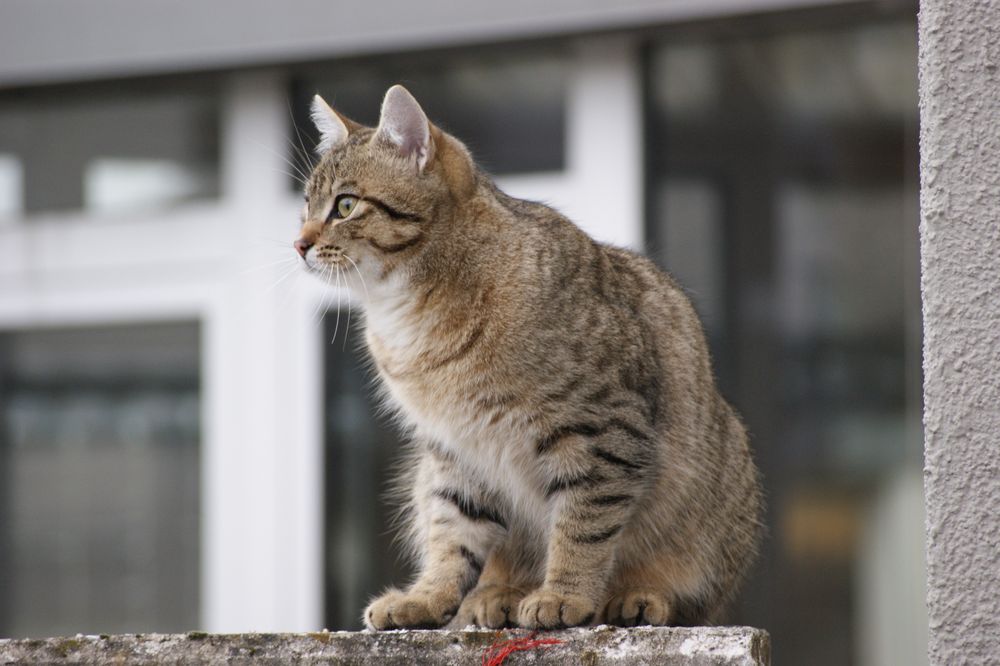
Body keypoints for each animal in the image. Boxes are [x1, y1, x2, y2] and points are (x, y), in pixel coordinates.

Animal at [292, 84, 760, 628]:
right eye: (305, 207)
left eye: (345, 205)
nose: (298, 243)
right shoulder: (453, 449)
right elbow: (451, 534)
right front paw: (428, 597)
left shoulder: (602, 432)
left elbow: (582, 527)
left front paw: (564, 595)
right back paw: (498, 593)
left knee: (691, 601)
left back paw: (639, 596)